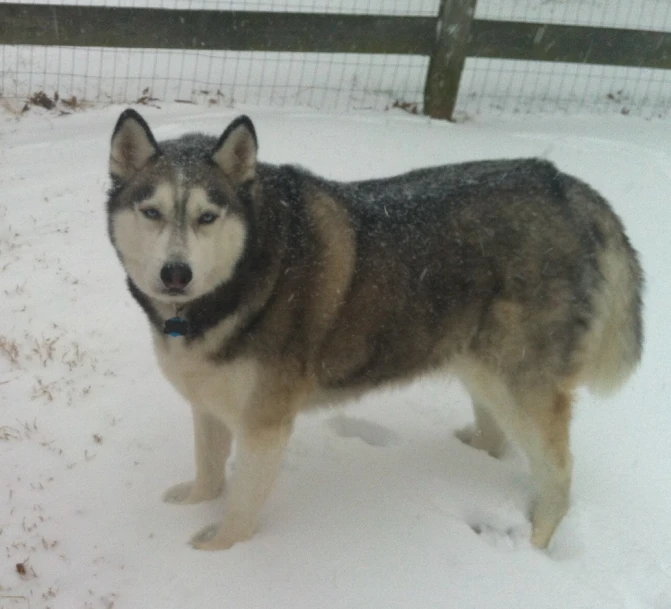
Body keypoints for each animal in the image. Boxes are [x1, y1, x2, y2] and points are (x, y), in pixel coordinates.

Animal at [107, 109, 644, 552]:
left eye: (207, 216)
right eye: (151, 211)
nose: (176, 274)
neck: (246, 271)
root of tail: (568, 186)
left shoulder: (265, 420)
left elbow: (242, 501)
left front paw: (219, 553)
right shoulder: (209, 399)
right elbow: (209, 465)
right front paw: (194, 503)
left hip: (521, 381)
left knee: (558, 474)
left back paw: (533, 543)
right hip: (480, 364)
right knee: (494, 434)